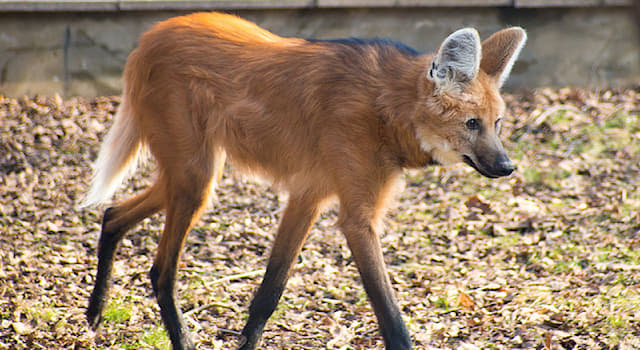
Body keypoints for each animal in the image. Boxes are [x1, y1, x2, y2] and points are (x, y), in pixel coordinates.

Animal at [81, 12, 524, 350]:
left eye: (497, 123)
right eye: (471, 124)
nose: (507, 166)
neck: (386, 109)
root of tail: (150, 35)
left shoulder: (307, 196)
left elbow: (268, 293)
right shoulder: (356, 218)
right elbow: (391, 318)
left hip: (194, 176)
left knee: (113, 213)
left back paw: (95, 313)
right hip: (194, 176)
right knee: (161, 270)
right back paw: (178, 337)